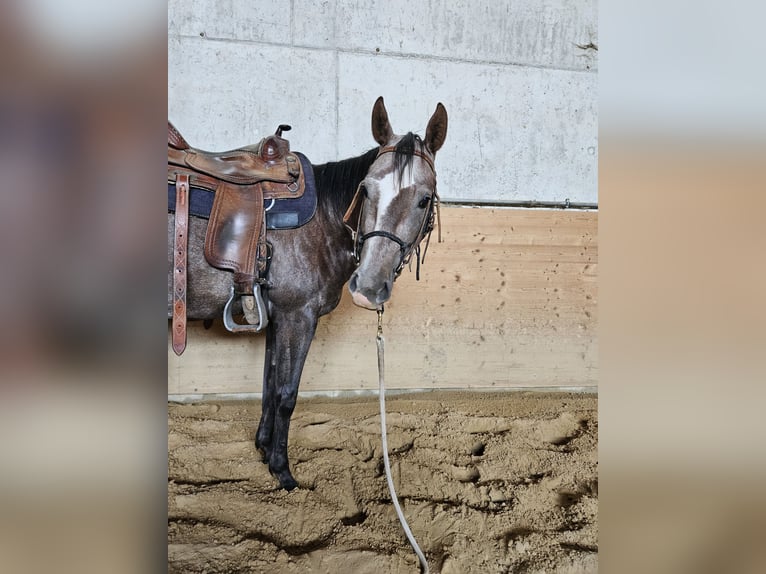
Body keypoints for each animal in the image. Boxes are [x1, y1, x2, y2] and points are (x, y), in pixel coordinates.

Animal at [168, 97, 448, 490]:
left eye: (424, 200)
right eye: (365, 189)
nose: (368, 287)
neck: (321, 223)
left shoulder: (277, 316)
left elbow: (270, 384)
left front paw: (264, 448)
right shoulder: (297, 317)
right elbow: (287, 394)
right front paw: (282, 470)